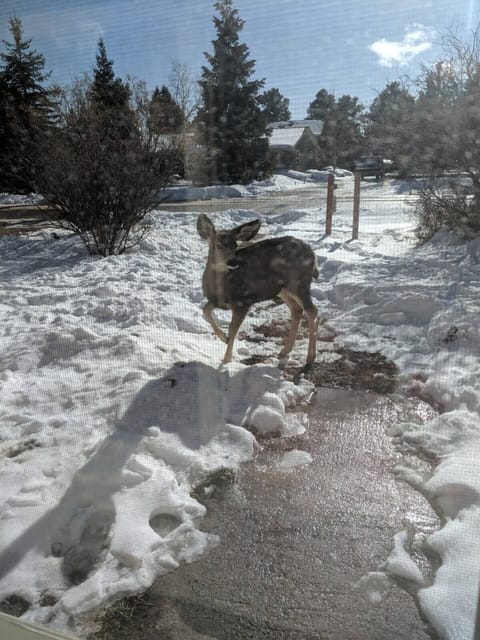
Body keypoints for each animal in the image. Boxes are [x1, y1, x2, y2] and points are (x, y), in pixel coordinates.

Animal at [197, 213, 319, 365]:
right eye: (218, 245)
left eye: (235, 245)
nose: (233, 262)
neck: (220, 289)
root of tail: (312, 254)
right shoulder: (215, 301)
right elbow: (205, 311)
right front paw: (224, 338)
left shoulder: (243, 301)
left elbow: (233, 329)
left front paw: (226, 359)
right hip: (282, 288)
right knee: (296, 309)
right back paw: (285, 350)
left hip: (298, 283)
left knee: (312, 311)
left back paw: (310, 357)